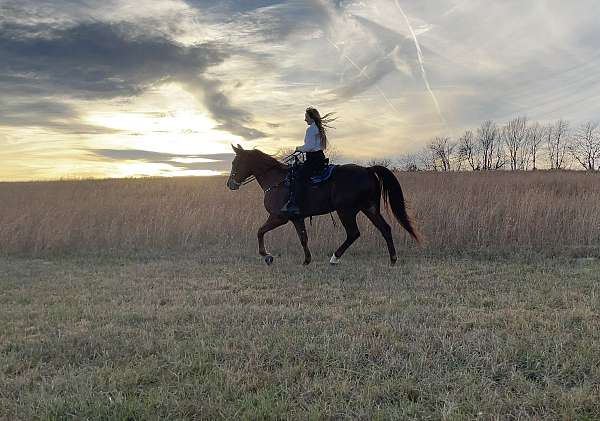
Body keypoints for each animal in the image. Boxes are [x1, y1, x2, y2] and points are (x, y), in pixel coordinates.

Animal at [227, 143, 420, 264]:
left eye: (235, 162)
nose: (230, 184)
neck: (277, 180)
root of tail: (367, 169)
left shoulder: (278, 217)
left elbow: (260, 231)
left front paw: (267, 256)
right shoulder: (297, 218)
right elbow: (303, 237)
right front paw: (307, 260)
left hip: (346, 211)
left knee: (353, 233)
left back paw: (335, 258)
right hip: (370, 208)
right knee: (385, 229)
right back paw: (393, 259)